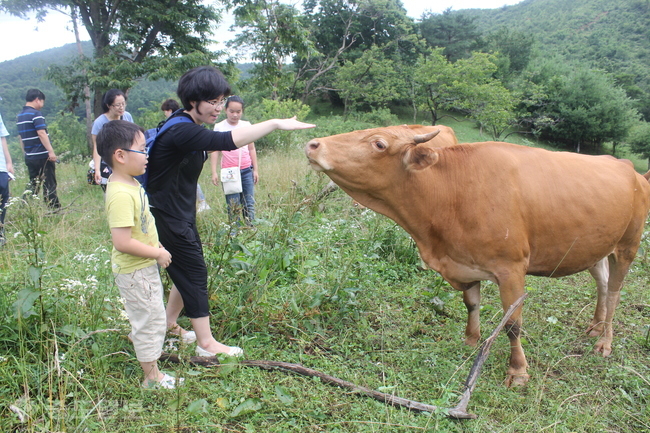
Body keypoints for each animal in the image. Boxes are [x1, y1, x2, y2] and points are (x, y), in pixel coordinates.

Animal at [304, 124, 648, 384]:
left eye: (379, 143)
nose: (313, 144)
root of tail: (628, 168)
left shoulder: (511, 269)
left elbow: (513, 324)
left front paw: (518, 371)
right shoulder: (462, 263)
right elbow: (471, 304)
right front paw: (470, 341)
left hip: (628, 245)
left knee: (615, 291)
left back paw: (604, 341)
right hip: (594, 247)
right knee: (602, 282)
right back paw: (595, 326)